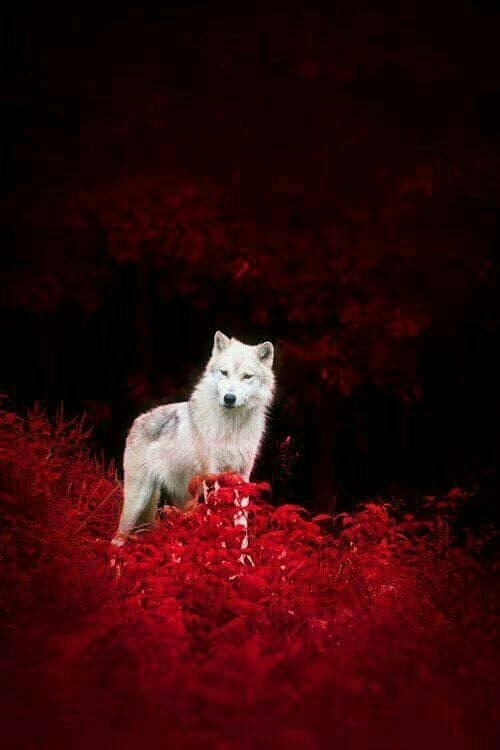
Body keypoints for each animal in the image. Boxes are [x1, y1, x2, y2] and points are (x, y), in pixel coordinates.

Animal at [112, 331, 275, 545]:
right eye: (224, 373)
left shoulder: (242, 477)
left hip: (182, 501)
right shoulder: (213, 476)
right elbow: (218, 520)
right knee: (116, 539)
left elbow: (242, 524)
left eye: (247, 376)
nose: (229, 398)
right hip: (139, 500)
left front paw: (241, 555)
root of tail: (137, 420)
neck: (231, 428)